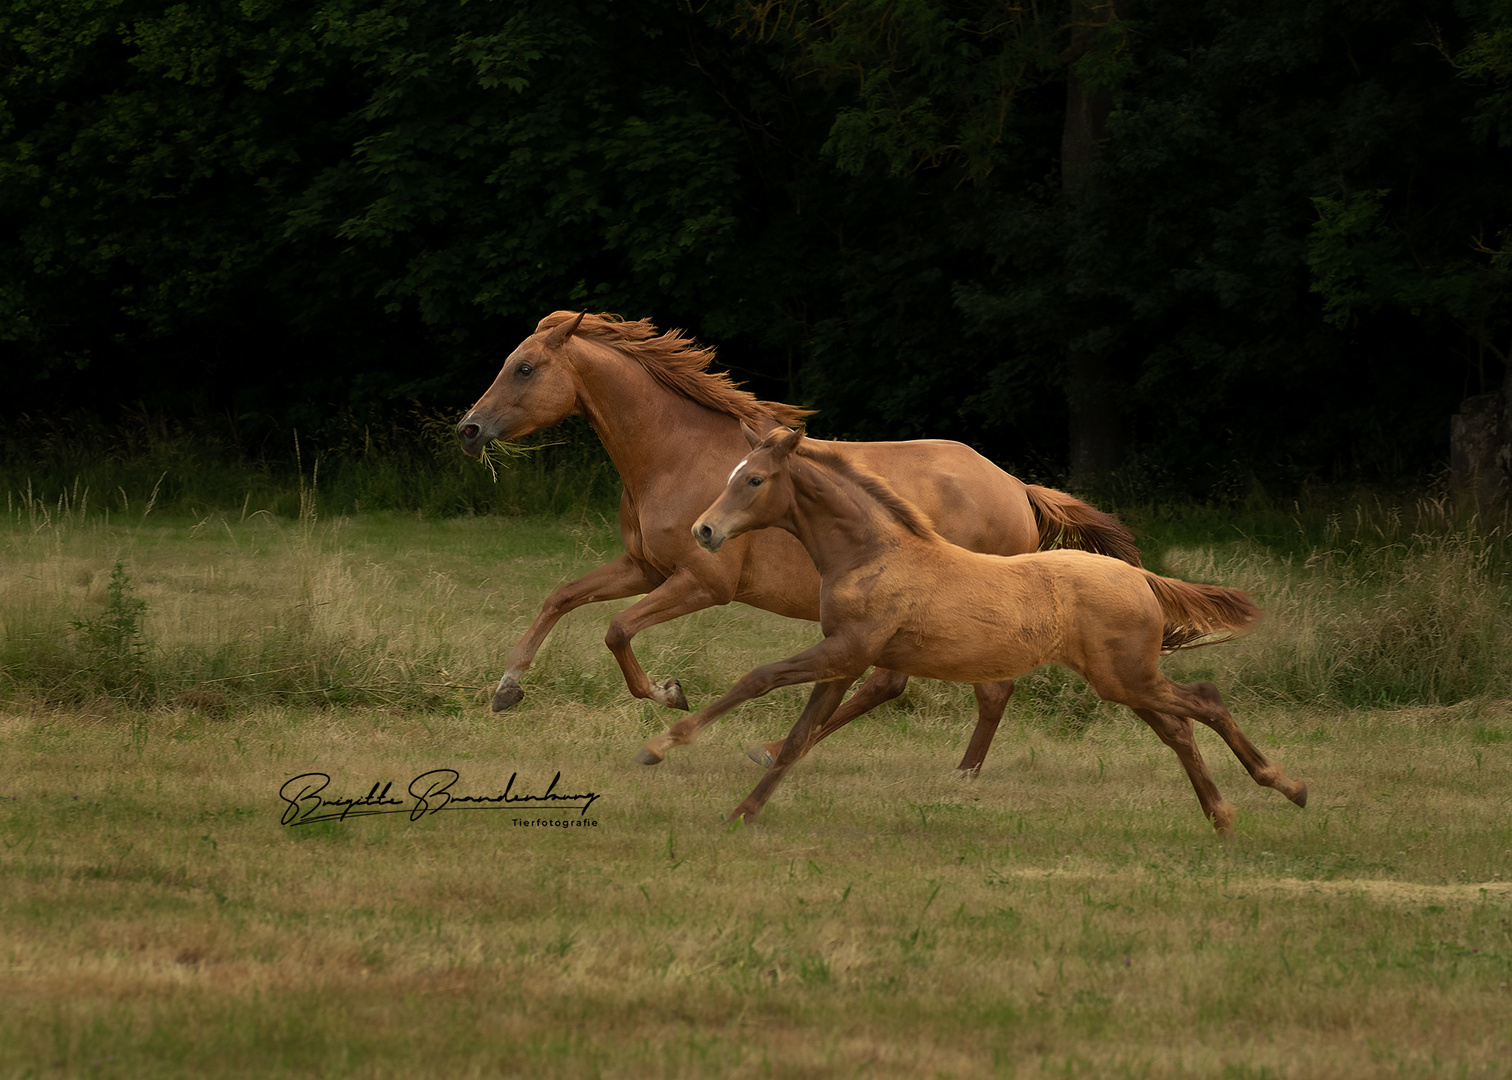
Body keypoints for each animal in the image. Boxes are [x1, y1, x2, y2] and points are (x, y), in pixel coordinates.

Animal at [453, 311, 1137, 774]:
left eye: (525, 367)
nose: (468, 429)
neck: (677, 454)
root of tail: (1016, 488)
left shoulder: (703, 583)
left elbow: (617, 630)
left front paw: (669, 694)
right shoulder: (644, 568)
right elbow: (562, 597)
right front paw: (507, 688)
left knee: (944, 687)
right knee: (908, 687)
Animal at [638, 423, 1312, 834]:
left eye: (753, 479)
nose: (704, 531)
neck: (872, 553)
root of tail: (1139, 577)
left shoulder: (845, 650)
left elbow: (758, 678)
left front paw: (660, 745)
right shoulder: (844, 660)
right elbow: (801, 735)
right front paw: (742, 812)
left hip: (1127, 677)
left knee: (1205, 701)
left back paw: (1283, 788)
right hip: (1126, 680)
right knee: (1181, 725)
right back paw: (1225, 813)